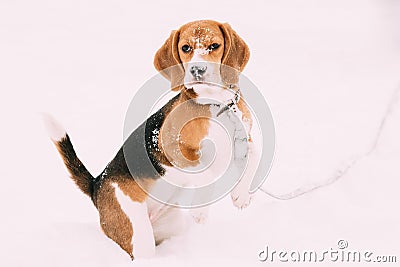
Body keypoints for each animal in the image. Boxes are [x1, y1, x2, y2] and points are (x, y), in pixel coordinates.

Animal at [45, 20, 260, 260]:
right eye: (185, 48)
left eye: (214, 45)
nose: (197, 70)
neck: (216, 103)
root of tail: (96, 184)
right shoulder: (173, 148)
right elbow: (206, 171)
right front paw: (200, 209)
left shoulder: (245, 139)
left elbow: (255, 156)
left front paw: (241, 195)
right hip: (137, 233)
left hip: (170, 226)